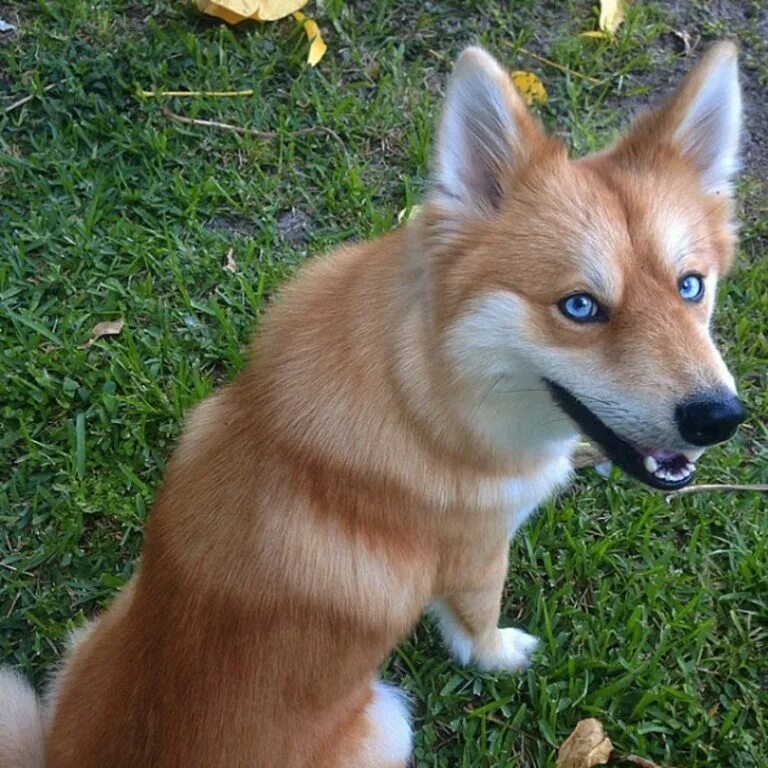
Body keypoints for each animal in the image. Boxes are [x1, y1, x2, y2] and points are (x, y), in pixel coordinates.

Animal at [0, 42, 744, 768]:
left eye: (691, 286)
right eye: (581, 307)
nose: (720, 417)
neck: (422, 395)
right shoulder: (478, 554)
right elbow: (477, 624)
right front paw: (500, 656)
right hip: (389, 720)